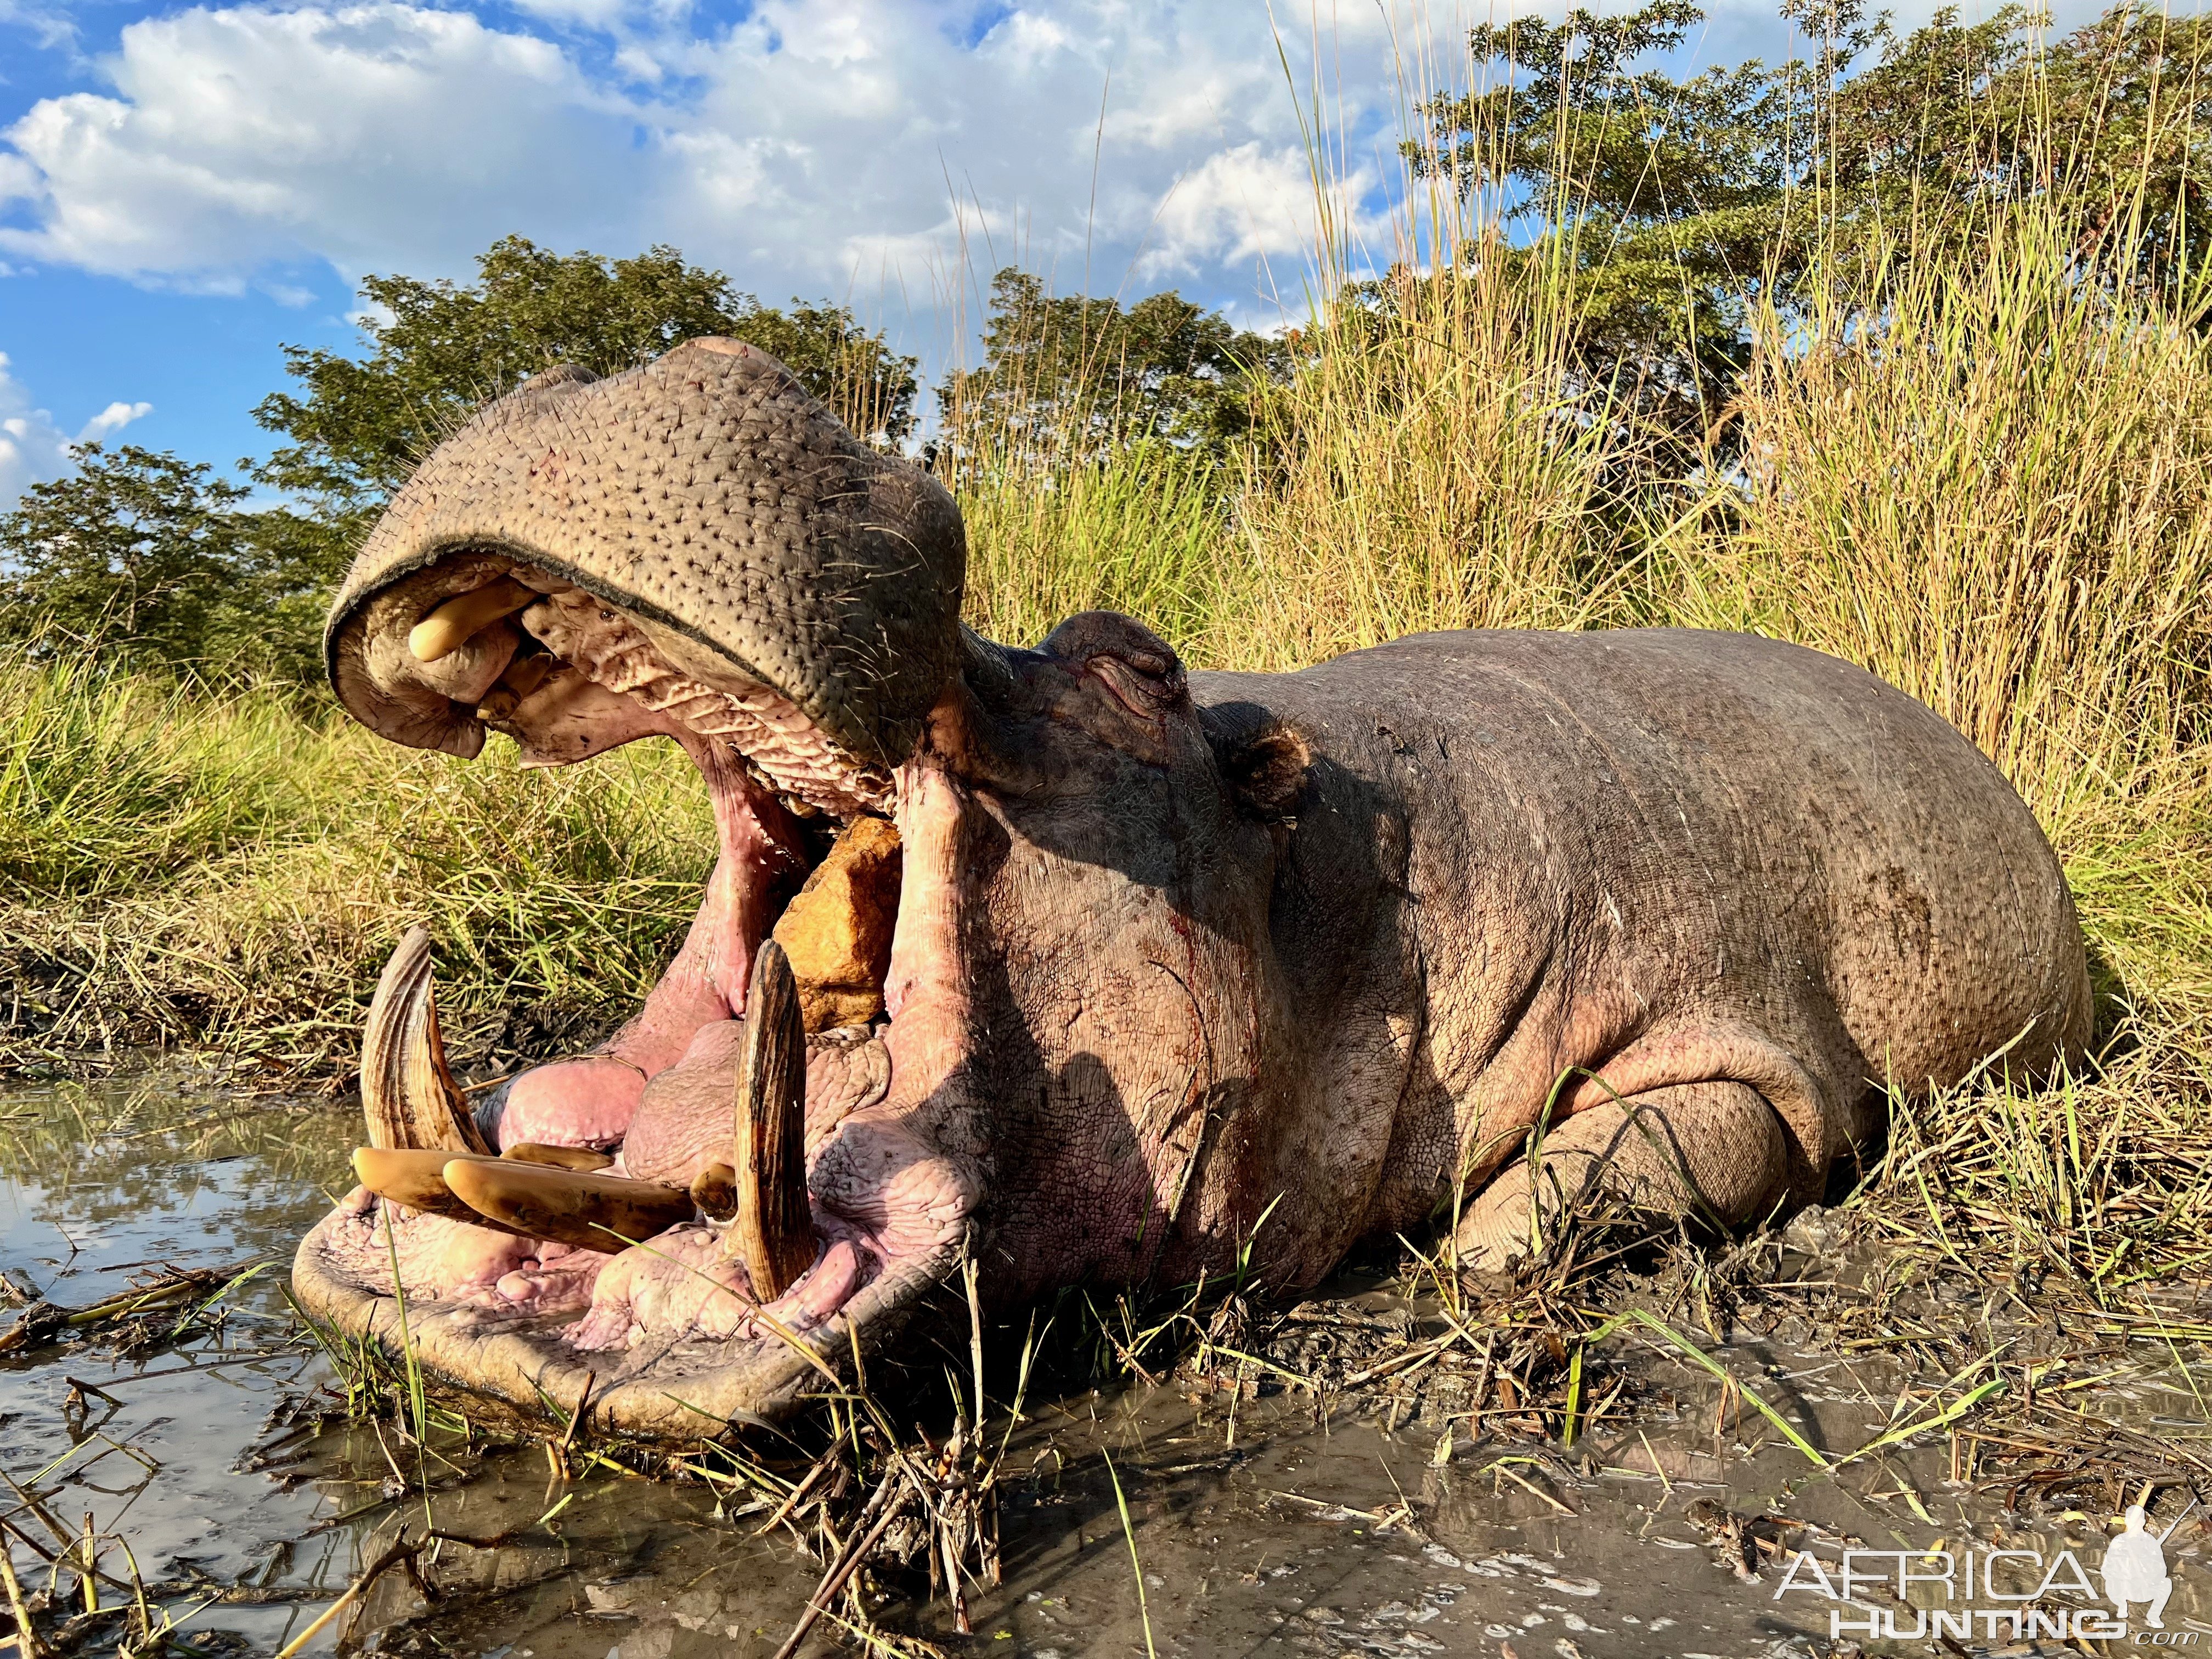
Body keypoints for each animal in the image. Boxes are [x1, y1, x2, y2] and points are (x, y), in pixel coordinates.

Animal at [294, 338, 2088, 1442]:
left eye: (1135, 660)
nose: (662, 364)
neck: (1335, 872)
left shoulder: (1762, 1047)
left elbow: (1584, 1192)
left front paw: (1486, 1241)